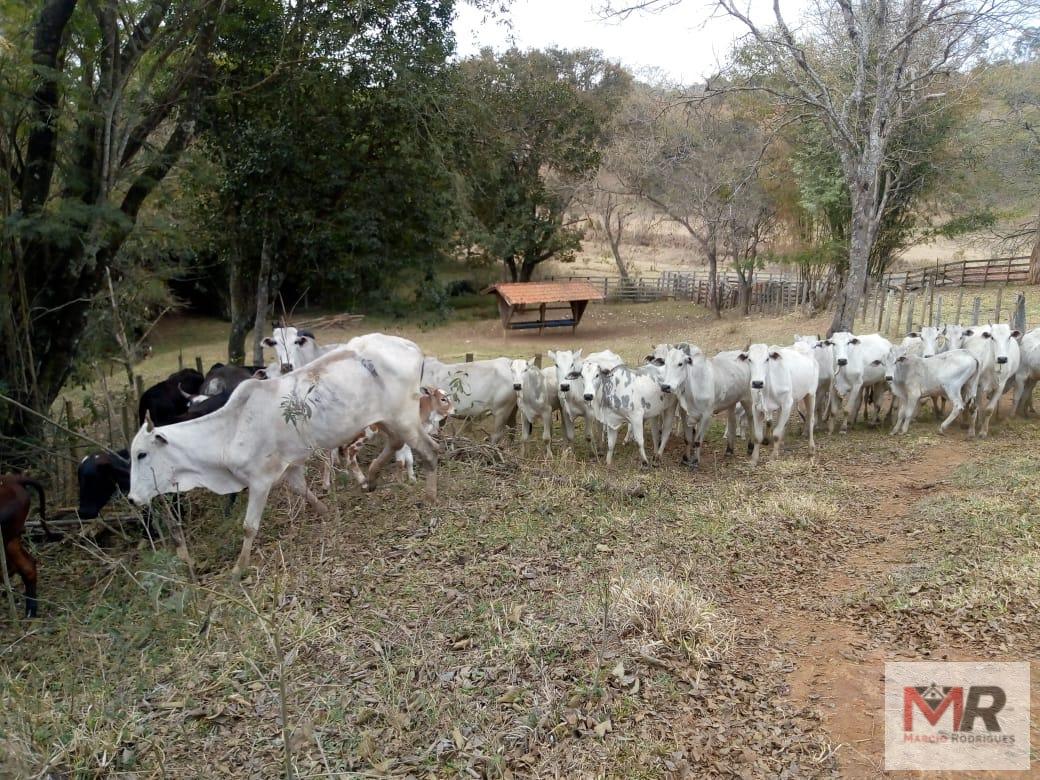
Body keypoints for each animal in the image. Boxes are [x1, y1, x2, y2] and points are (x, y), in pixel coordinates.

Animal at [130, 332, 438, 578]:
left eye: (142, 454)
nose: (132, 498)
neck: (230, 429)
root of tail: (411, 346)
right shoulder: (290, 468)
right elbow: (305, 492)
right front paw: (326, 512)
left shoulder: (260, 480)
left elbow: (249, 527)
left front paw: (238, 569)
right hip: (385, 419)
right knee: (397, 444)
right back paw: (371, 478)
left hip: (403, 417)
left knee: (429, 450)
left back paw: (430, 495)